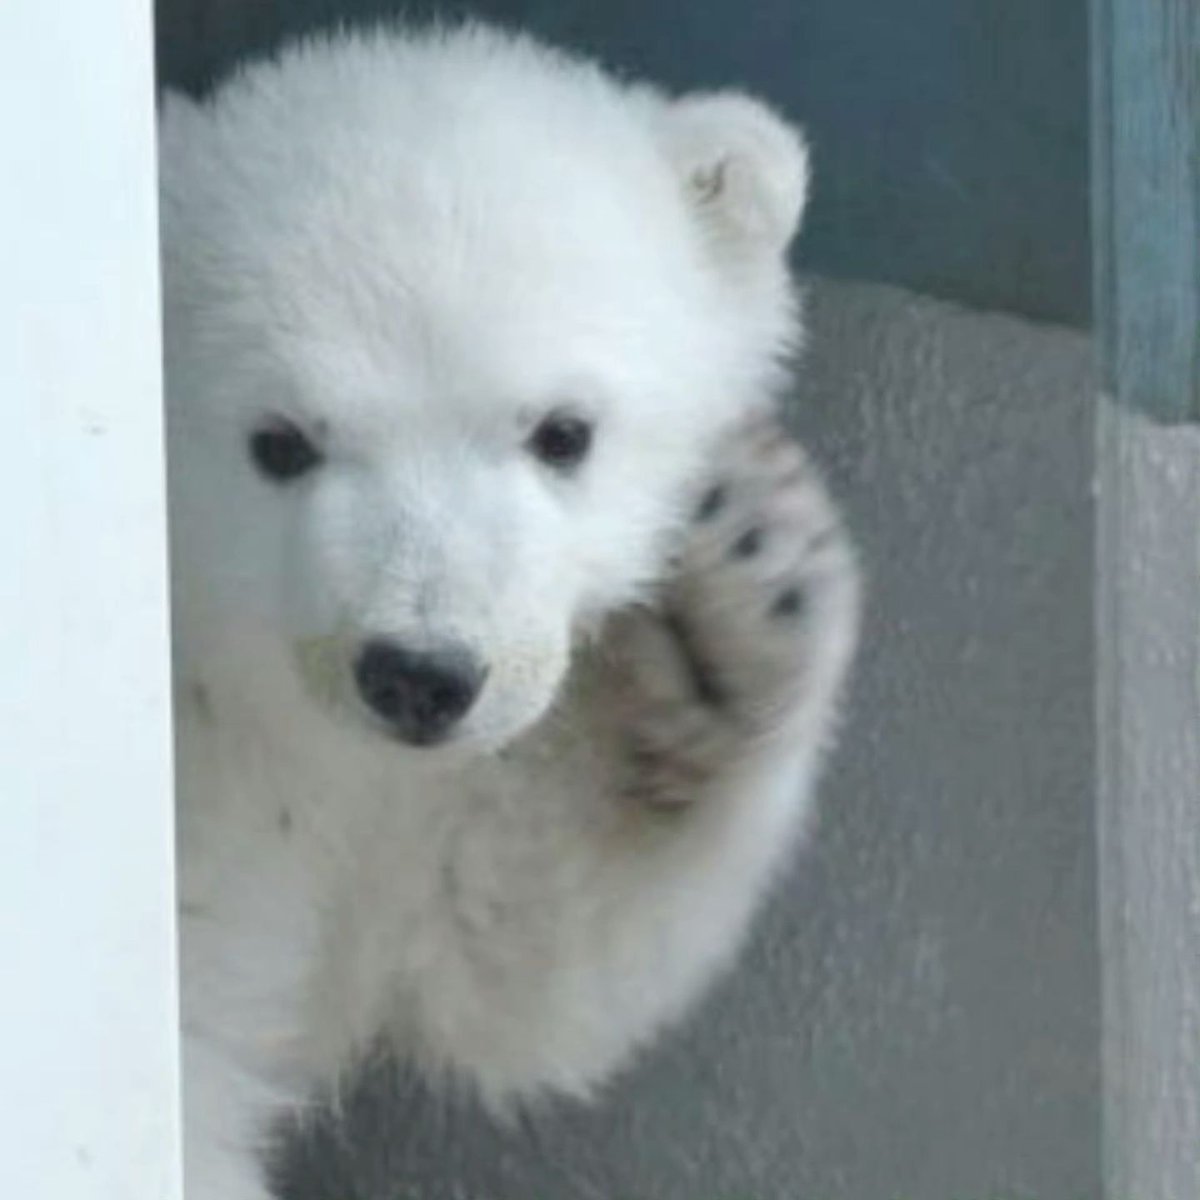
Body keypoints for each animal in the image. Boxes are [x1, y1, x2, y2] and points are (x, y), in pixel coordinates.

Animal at [159, 23, 861, 1200]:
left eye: (563, 431)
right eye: (280, 442)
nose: (420, 674)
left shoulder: (406, 806)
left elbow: (500, 948)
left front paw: (739, 608)